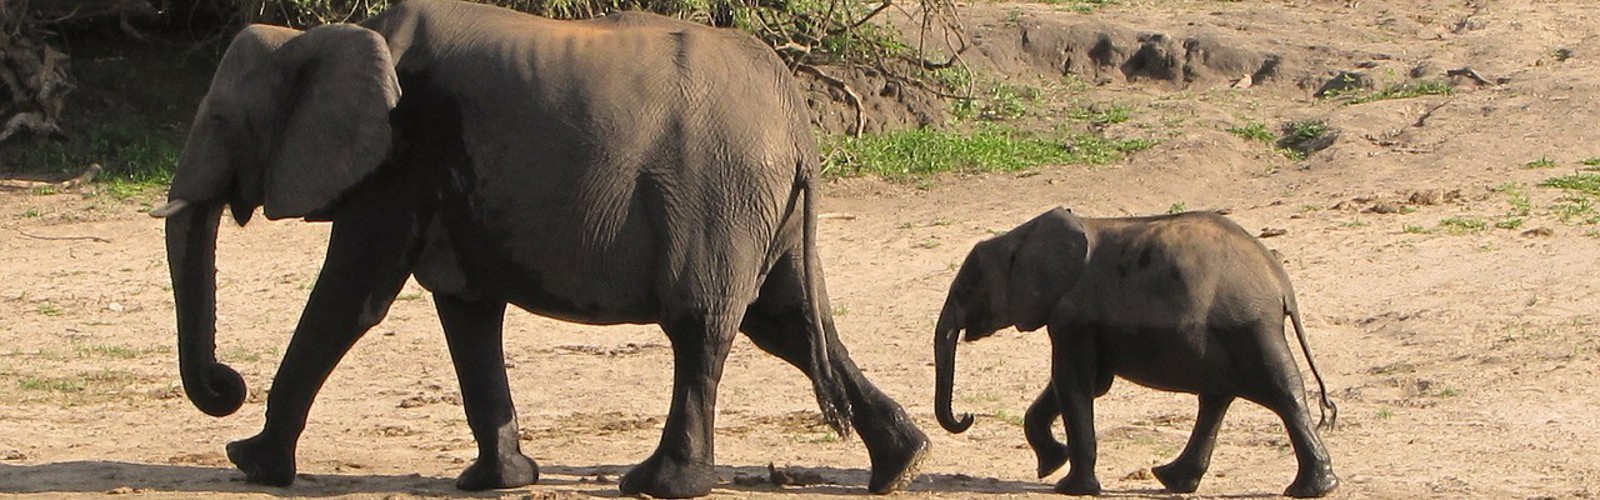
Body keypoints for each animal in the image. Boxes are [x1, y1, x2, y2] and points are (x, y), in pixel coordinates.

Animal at [149, 0, 928, 497]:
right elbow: (465, 311)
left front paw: (251, 465)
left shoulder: (401, 157)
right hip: (761, 206)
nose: (226, 384)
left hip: (720, 195)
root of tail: (797, 119)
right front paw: (494, 483)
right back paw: (902, 466)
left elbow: (351, 296)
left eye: (218, 121)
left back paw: (659, 486)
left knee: (702, 327)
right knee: (787, 321)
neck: (320, 38)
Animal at [932, 207, 1338, 497]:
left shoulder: (1073, 317)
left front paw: (1070, 488)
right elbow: (1085, 384)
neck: (1019, 238)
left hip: (1248, 327)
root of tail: (1282, 283)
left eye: (967, 289)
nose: (967, 415)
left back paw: (1311, 490)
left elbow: (1072, 383)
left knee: (1282, 392)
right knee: (1217, 398)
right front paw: (1051, 466)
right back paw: (1172, 480)